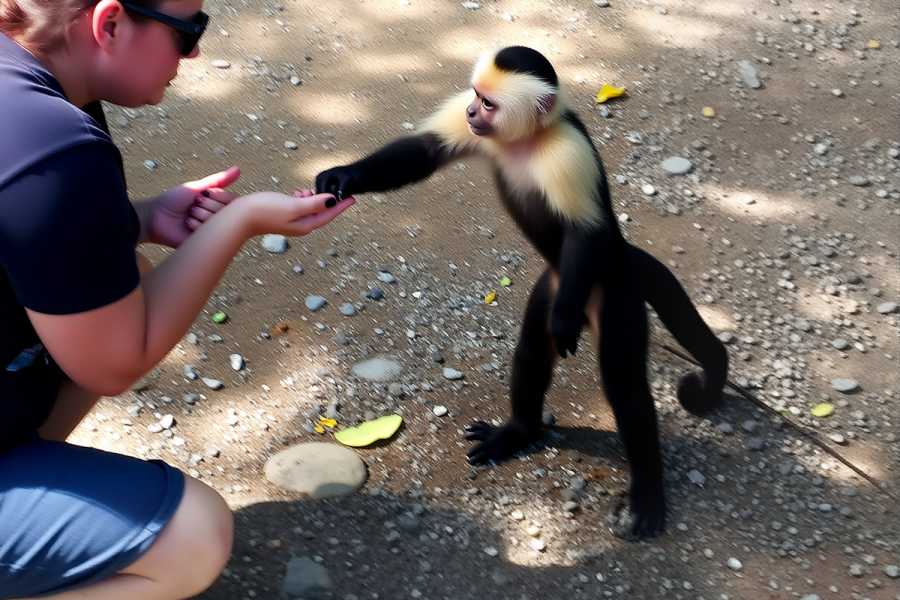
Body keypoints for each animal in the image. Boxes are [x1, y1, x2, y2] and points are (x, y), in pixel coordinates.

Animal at [315, 46, 728, 539]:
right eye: (475, 97)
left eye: (489, 104)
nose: (472, 111)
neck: (527, 141)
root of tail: (623, 256)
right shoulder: (477, 137)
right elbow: (422, 153)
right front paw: (344, 176)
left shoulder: (567, 153)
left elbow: (585, 233)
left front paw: (567, 321)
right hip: (551, 284)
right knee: (532, 349)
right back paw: (518, 432)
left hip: (609, 290)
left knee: (625, 387)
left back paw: (646, 496)